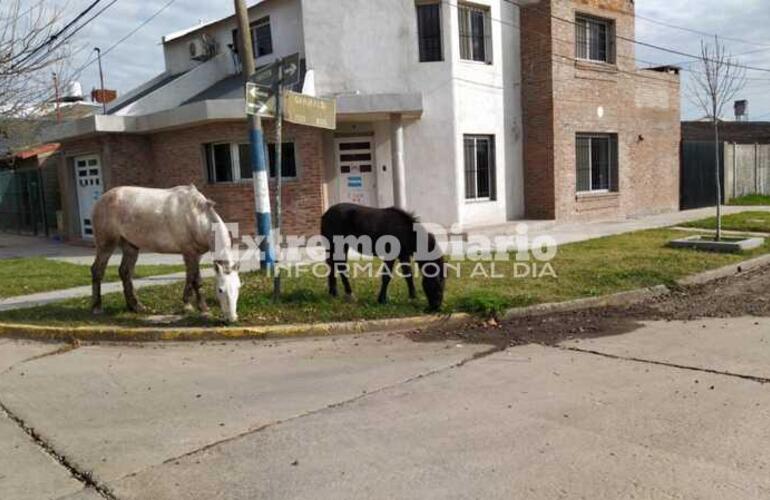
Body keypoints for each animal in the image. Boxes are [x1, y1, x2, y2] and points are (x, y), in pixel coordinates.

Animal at [91, 186, 240, 322]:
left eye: (238, 287)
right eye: (220, 290)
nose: (232, 318)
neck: (197, 216)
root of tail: (101, 200)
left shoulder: (197, 254)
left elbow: (194, 279)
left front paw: (198, 306)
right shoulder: (189, 253)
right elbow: (193, 279)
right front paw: (192, 305)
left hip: (130, 246)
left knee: (125, 272)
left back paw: (136, 307)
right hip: (106, 245)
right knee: (97, 270)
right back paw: (97, 307)